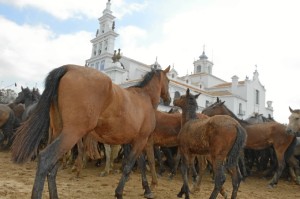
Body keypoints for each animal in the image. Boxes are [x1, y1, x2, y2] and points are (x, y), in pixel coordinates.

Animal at [11, 64, 171, 199]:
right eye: (169, 81)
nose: (169, 99)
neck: (145, 97)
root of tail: (69, 67)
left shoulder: (135, 141)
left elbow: (141, 164)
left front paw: (147, 189)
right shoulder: (141, 140)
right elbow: (129, 166)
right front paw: (119, 192)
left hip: (61, 134)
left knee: (53, 168)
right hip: (71, 134)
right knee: (45, 160)